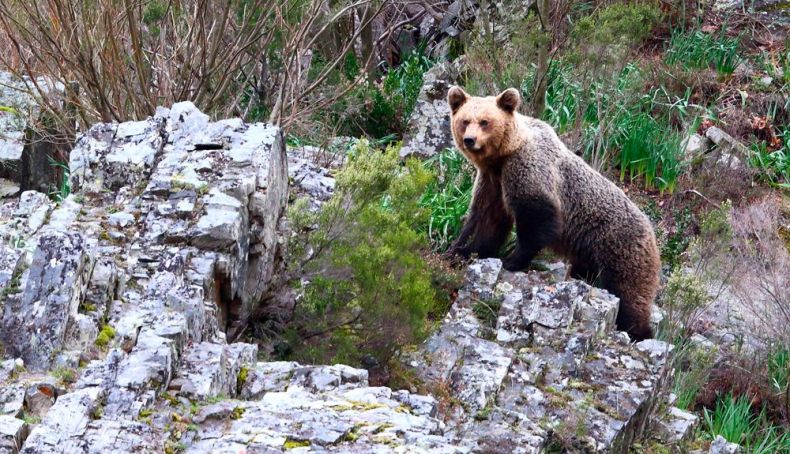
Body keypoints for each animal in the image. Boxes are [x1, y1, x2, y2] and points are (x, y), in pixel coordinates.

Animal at [445, 86, 660, 341]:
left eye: (485, 122)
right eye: (465, 121)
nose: (470, 140)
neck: (503, 155)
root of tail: (652, 232)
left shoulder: (528, 170)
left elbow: (537, 217)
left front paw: (511, 260)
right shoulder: (493, 181)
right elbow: (486, 218)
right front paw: (461, 250)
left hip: (619, 247)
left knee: (628, 294)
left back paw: (638, 331)